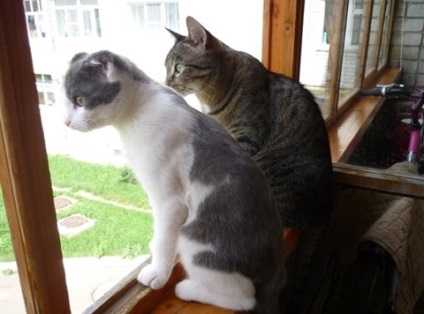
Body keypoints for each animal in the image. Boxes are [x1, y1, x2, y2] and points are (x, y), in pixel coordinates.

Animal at [63, 50, 286, 312]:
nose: (65, 122)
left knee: (242, 299)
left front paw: (157, 274)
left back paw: (187, 288)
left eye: (80, 100)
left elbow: (163, 240)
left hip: (194, 242)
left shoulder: (170, 201)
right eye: (65, 100)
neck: (139, 111)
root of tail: (275, 273)